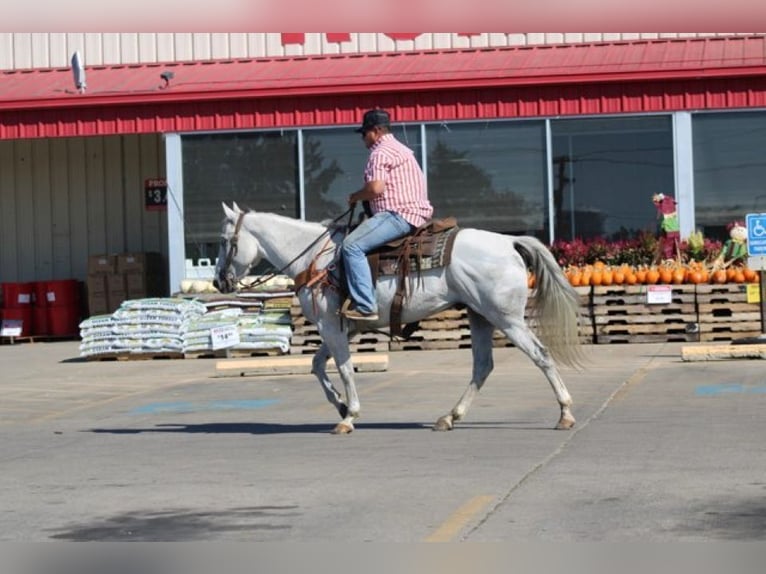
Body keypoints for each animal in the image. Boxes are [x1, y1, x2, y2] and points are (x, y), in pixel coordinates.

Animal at [214, 202, 584, 435]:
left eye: (224, 241)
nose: (219, 281)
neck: (316, 259)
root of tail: (509, 242)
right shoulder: (341, 328)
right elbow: (318, 365)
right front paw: (340, 406)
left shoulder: (331, 326)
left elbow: (344, 368)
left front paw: (349, 416)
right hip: (480, 315)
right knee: (483, 366)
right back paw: (450, 417)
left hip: (506, 318)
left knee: (540, 355)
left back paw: (565, 413)